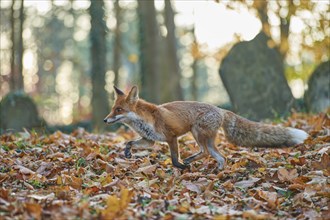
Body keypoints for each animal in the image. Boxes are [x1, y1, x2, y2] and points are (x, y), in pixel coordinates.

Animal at [104, 86, 308, 170]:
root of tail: (221, 109)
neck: (146, 119)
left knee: (207, 152)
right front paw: (127, 152)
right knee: (219, 156)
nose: (105, 120)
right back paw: (217, 171)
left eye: (119, 110)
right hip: (204, 138)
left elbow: (174, 159)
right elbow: (130, 142)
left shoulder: (171, 137)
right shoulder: (149, 140)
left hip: (197, 133)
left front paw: (181, 167)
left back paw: (193, 163)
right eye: (112, 108)